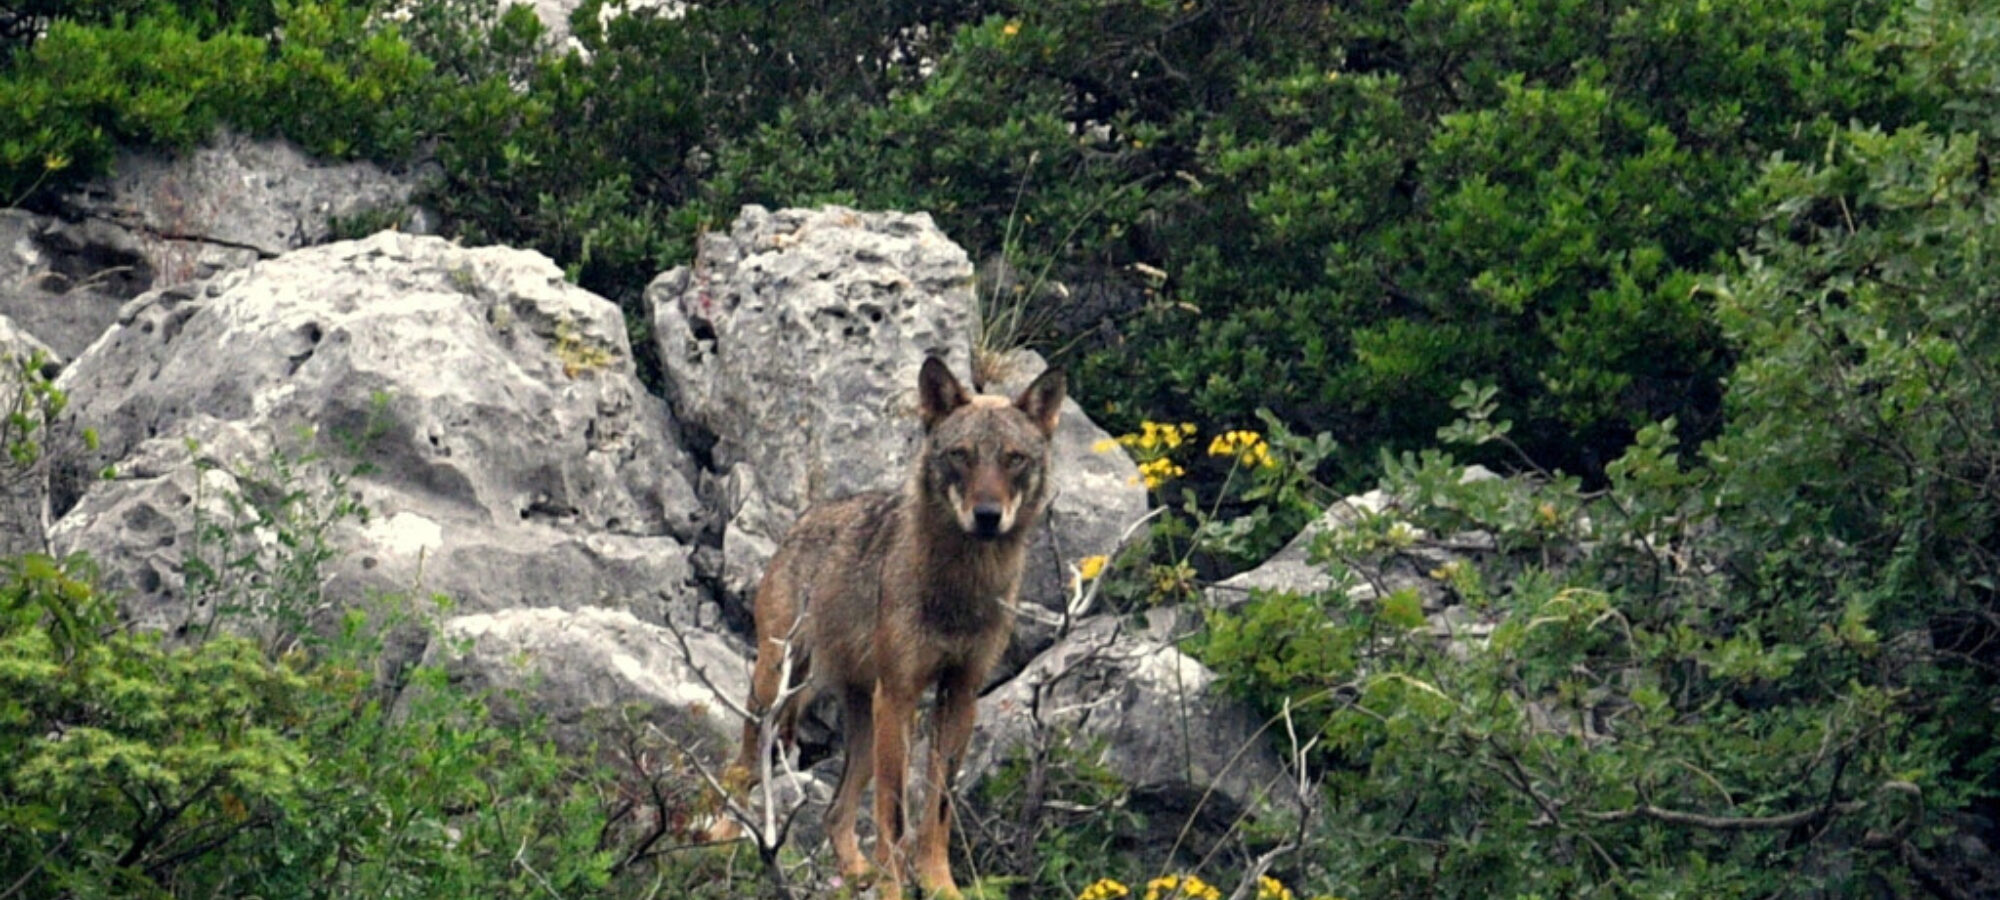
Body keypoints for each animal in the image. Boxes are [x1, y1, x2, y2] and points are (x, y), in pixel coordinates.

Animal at [716, 356, 1066, 900]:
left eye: (1014, 459)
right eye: (961, 455)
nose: (987, 516)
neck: (960, 588)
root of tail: (803, 520)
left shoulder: (959, 695)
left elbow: (937, 810)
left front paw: (940, 886)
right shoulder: (900, 695)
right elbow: (895, 815)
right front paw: (896, 888)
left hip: (862, 721)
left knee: (835, 813)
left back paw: (857, 876)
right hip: (779, 690)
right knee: (741, 772)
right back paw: (717, 844)